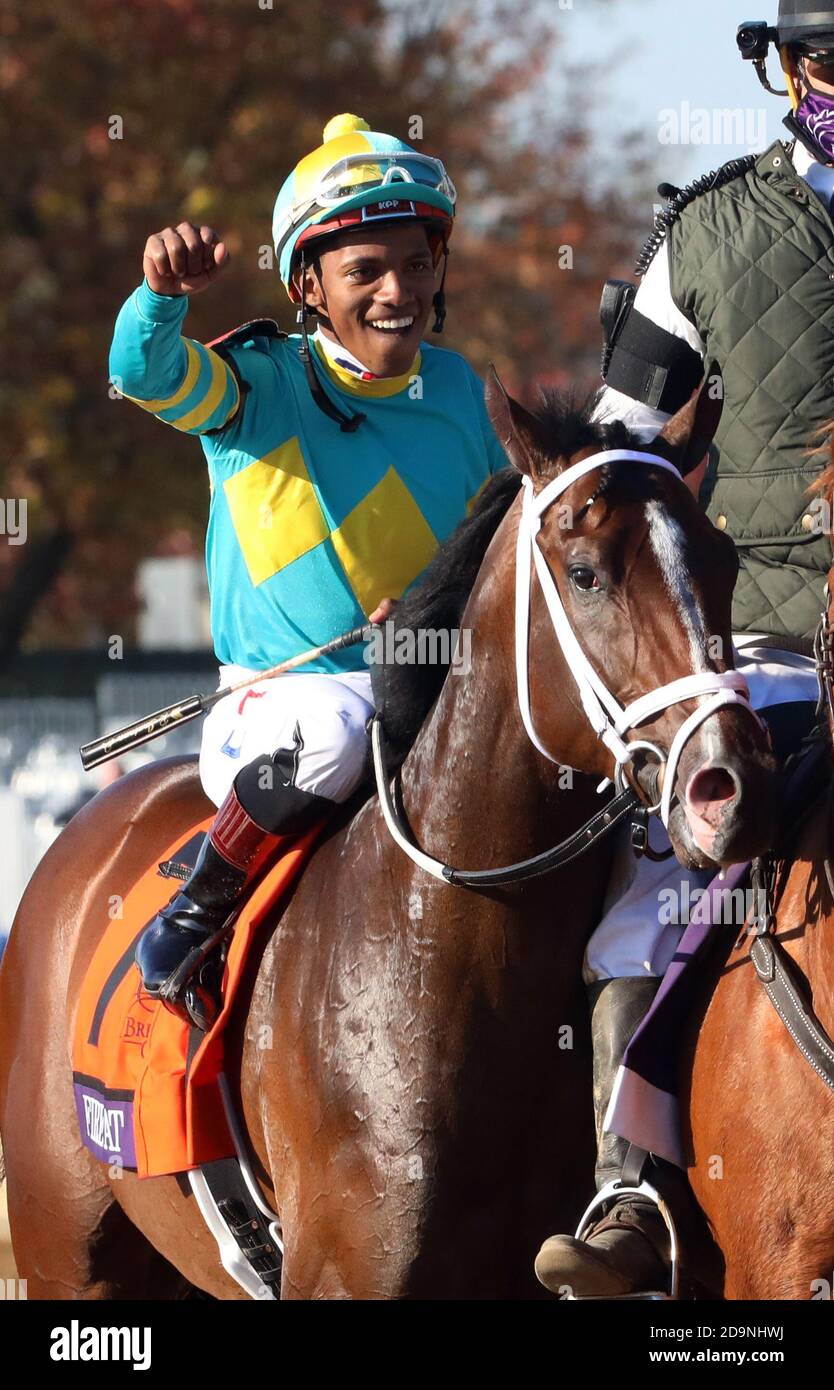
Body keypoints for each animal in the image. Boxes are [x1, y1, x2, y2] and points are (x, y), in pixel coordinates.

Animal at [1, 375, 772, 1295]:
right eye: (585, 573)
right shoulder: (346, 1271)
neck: (442, 948)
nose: (730, 781)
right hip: (62, 1249)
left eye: (723, 562)